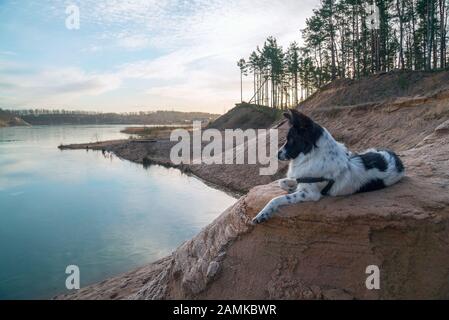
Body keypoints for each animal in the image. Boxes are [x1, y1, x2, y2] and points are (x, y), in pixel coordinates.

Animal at [252, 110, 402, 225]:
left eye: (292, 140)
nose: (277, 155)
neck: (312, 155)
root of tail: (396, 159)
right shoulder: (301, 178)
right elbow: (281, 181)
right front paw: (290, 187)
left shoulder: (310, 194)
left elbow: (276, 199)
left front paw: (262, 214)